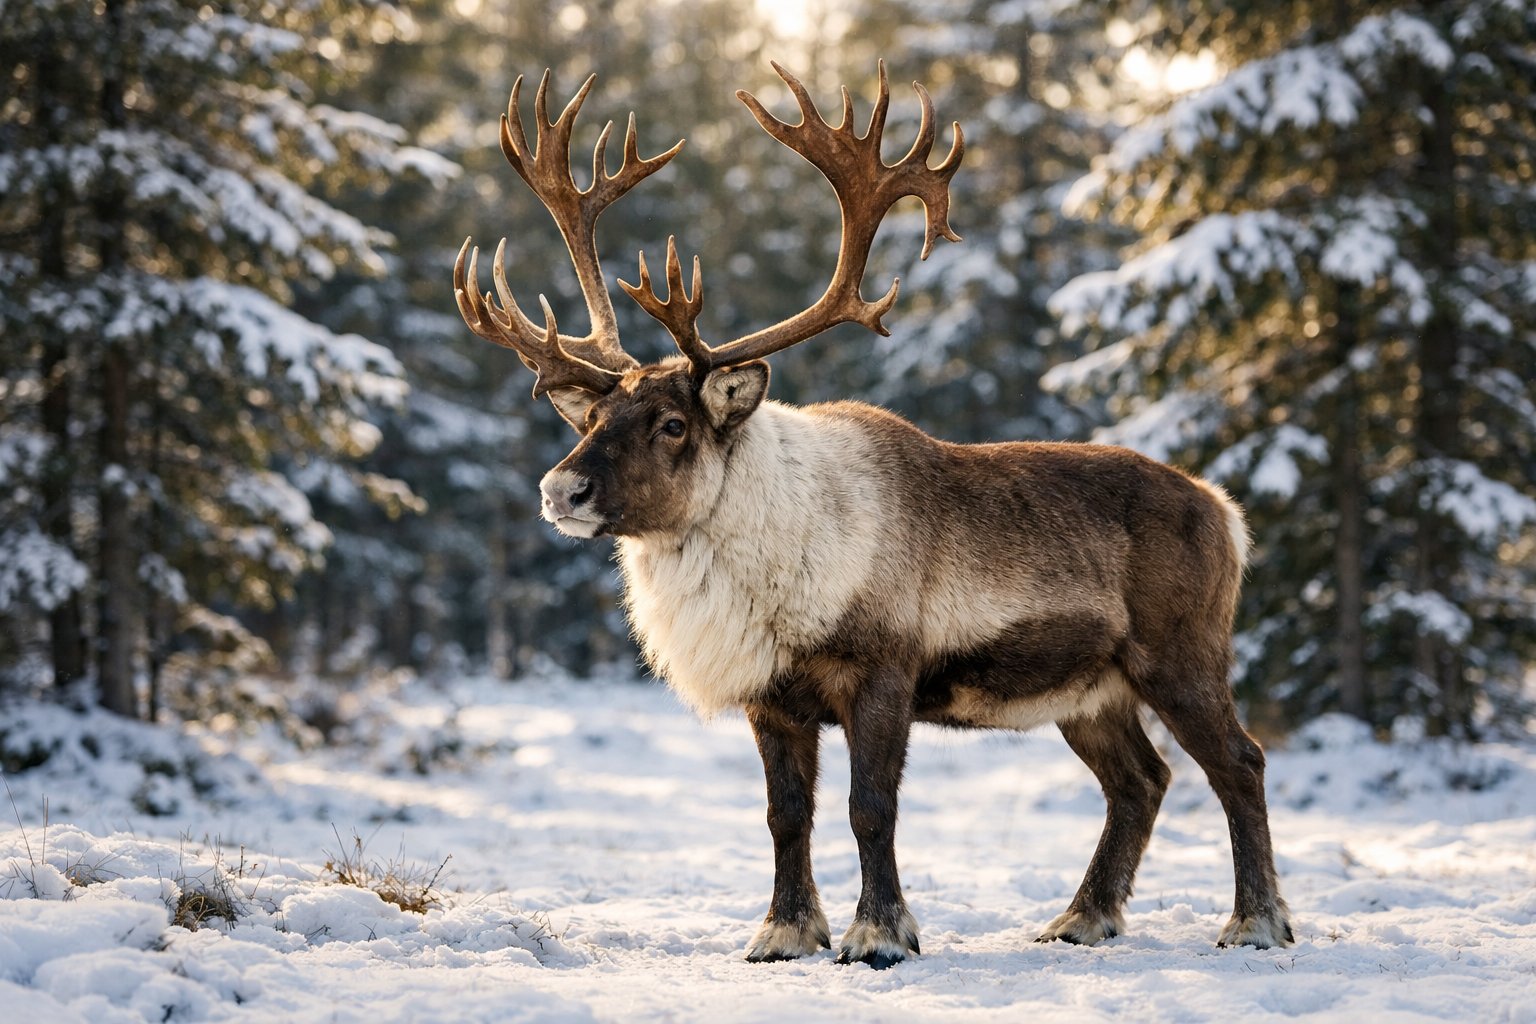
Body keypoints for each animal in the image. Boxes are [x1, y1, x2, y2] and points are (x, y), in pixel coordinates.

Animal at [452, 62, 1294, 969]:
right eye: (594, 416)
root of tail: (1224, 511)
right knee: (1141, 780)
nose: (560, 490)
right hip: (1091, 690)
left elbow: (870, 809)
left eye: (673, 423)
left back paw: (1254, 921)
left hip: (1179, 653)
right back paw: (1083, 917)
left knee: (1239, 763)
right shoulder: (774, 699)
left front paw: (878, 933)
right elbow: (786, 816)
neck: (772, 557)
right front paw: (783, 932)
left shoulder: (883, 672)